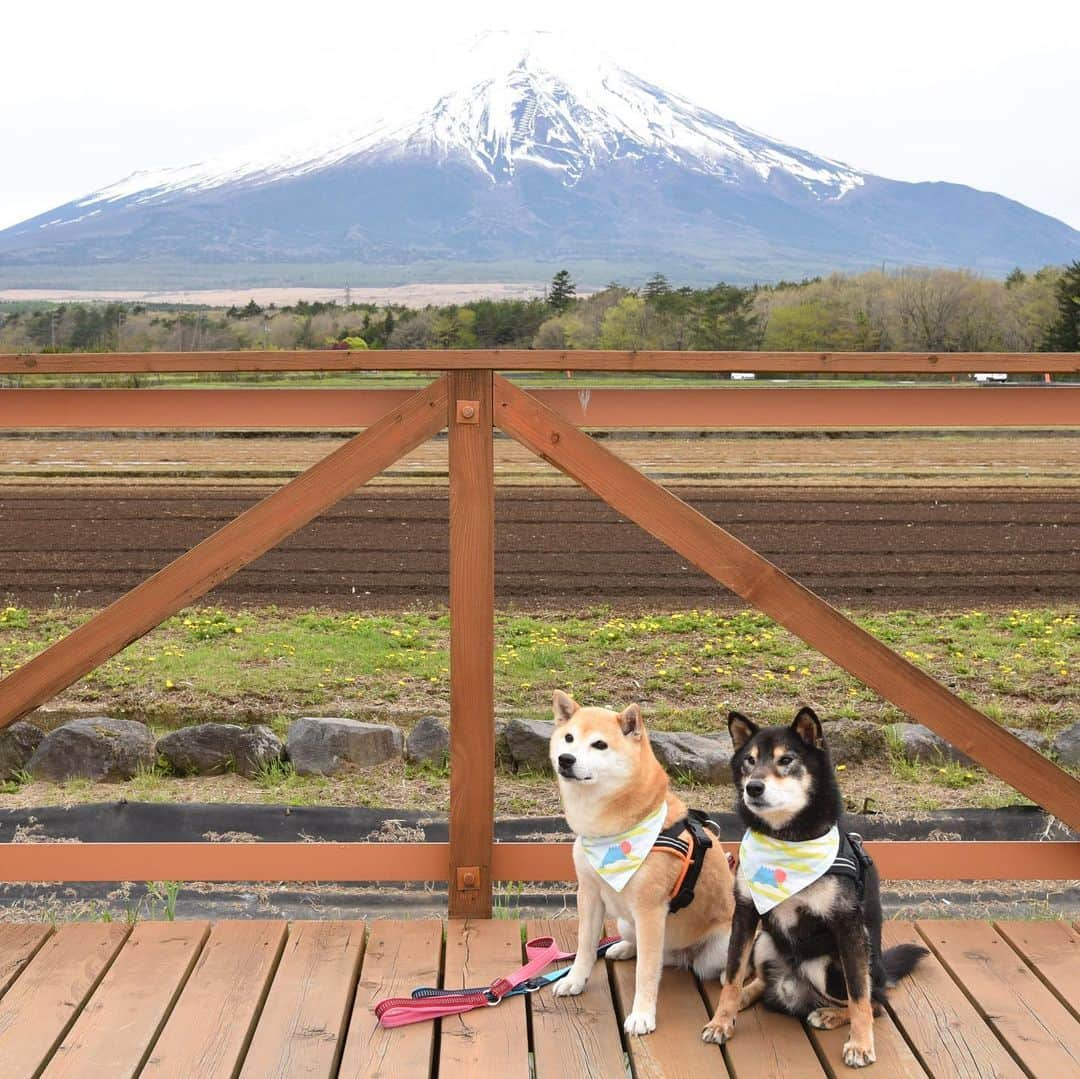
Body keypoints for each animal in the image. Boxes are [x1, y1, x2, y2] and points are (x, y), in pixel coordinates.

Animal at [548, 691, 760, 1036]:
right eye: (568, 738)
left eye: (599, 745)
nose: (566, 759)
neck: (608, 833)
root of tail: (680, 954)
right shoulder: (589, 895)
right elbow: (584, 946)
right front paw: (575, 980)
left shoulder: (649, 910)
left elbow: (645, 974)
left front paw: (642, 1015)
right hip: (626, 922)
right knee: (646, 950)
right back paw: (622, 947)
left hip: (720, 943)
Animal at [704, 704, 924, 1067]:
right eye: (749, 760)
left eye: (786, 760)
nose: (753, 787)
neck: (786, 841)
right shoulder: (746, 915)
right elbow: (734, 976)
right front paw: (721, 1021)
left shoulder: (847, 926)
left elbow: (859, 996)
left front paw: (860, 1045)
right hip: (765, 940)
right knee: (760, 981)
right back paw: (749, 997)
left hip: (830, 965)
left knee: (874, 1000)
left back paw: (831, 1014)